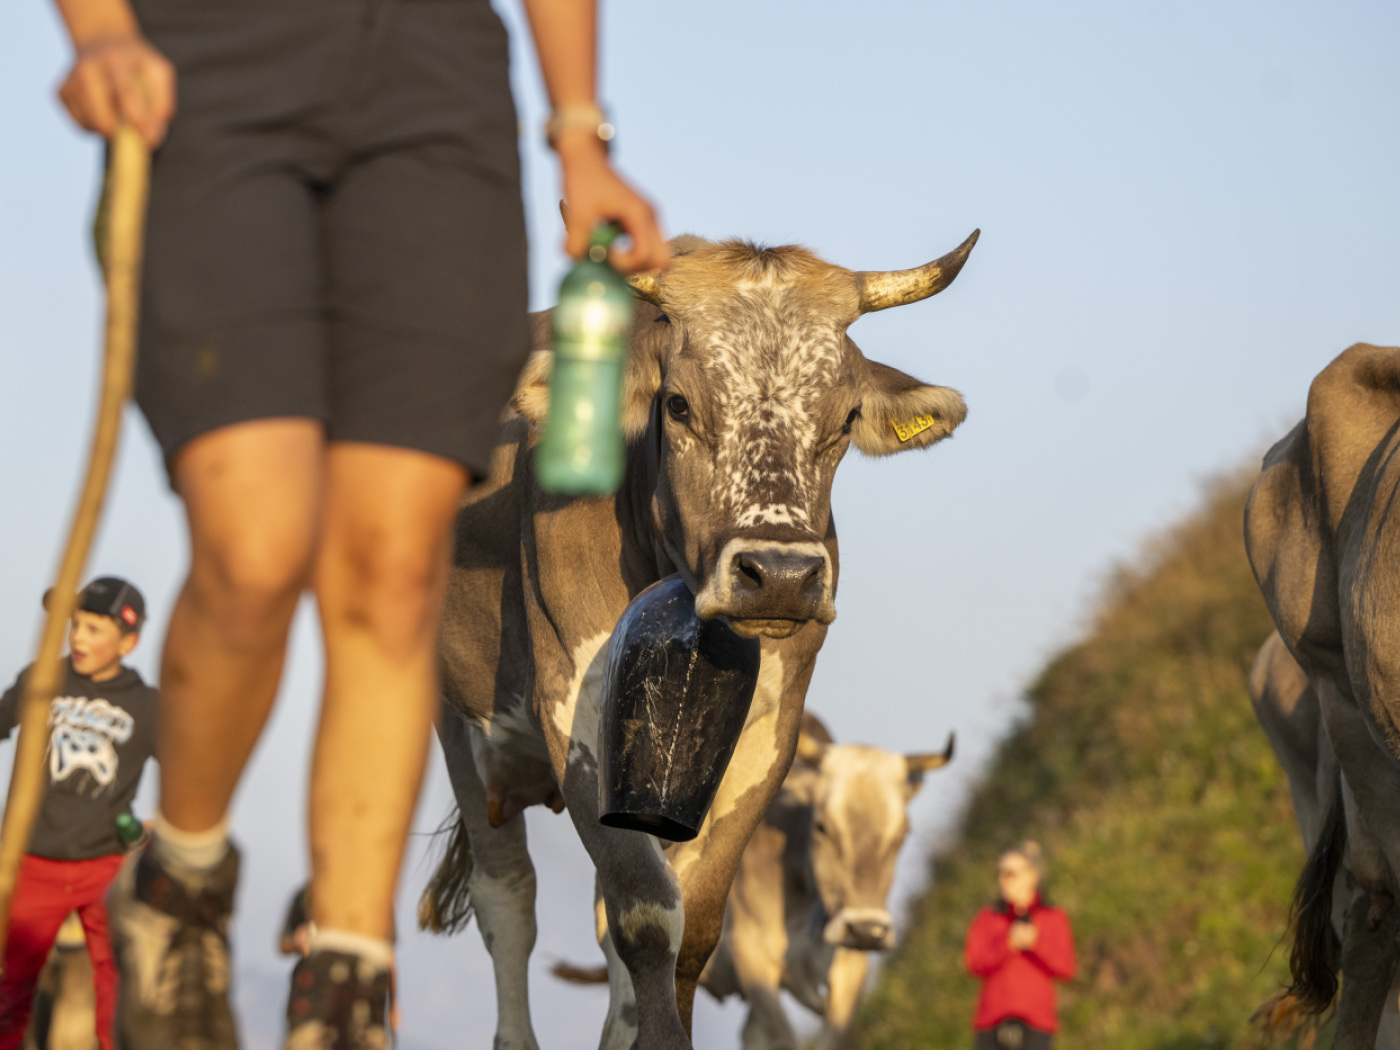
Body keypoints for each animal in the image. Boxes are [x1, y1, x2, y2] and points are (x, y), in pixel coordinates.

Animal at [419, 228, 979, 1050]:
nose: (779, 576)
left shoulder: (766, 737)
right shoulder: (575, 712)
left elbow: (694, 925)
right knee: (508, 903)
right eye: (678, 404)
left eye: (847, 416)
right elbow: (648, 915)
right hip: (462, 730)